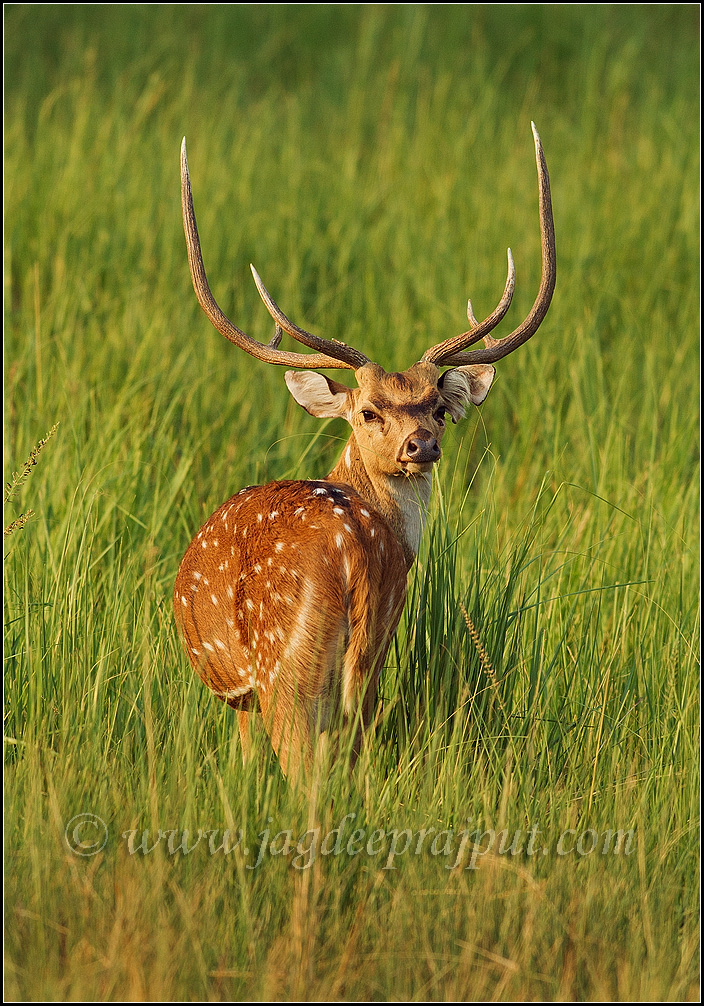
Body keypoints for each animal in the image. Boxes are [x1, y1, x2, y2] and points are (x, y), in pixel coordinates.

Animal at [174, 123, 556, 783]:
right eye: (370, 411)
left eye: (437, 407)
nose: (421, 443)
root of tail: (351, 548)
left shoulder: (242, 694)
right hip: (369, 653)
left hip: (287, 669)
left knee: (303, 765)